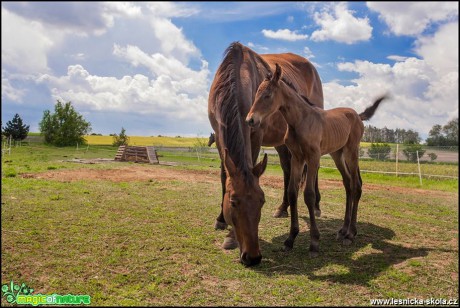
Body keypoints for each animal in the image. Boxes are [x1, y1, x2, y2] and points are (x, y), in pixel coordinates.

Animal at [208, 42, 324, 266]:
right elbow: (224, 176)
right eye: (233, 202)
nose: (253, 258)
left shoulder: (255, 134)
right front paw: (220, 219)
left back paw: (316, 206)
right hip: (282, 142)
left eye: (261, 201)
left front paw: (230, 237)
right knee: (287, 169)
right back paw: (283, 207)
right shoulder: (218, 134)